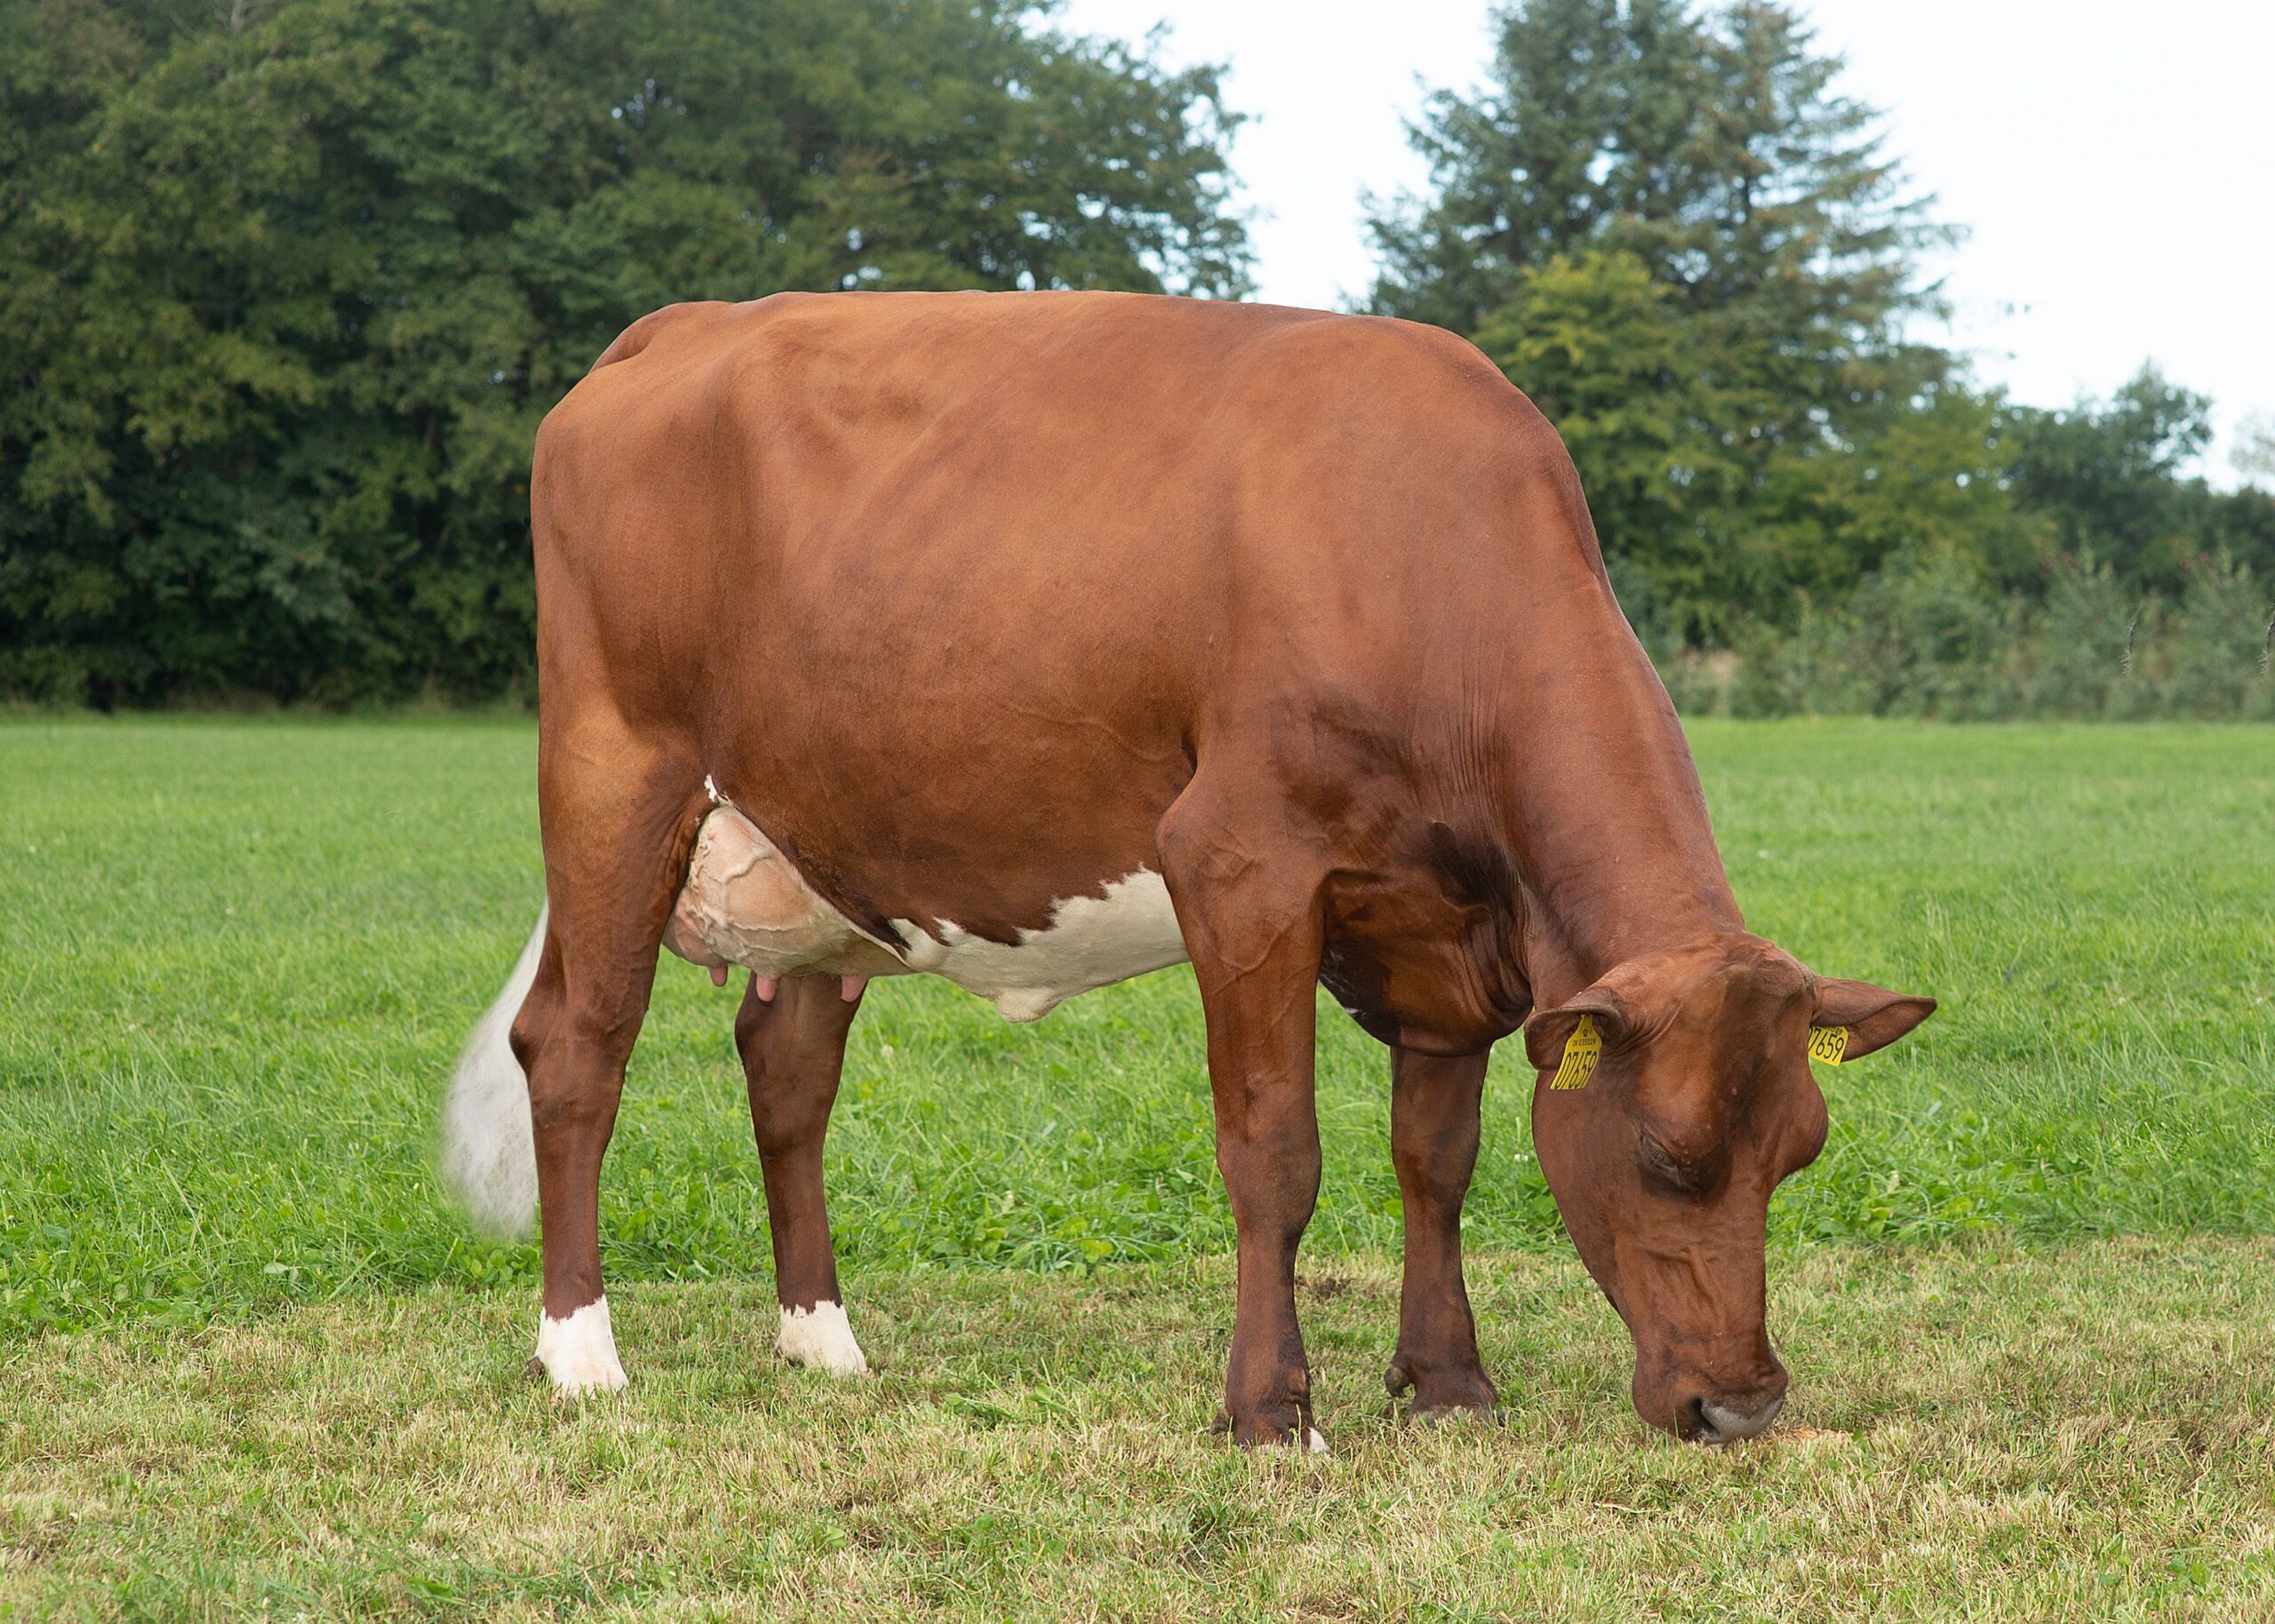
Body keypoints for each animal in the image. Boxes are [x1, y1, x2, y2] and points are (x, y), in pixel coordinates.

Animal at [440, 290, 1935, 1449]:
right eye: (1669, 1157)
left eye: (1799, 1152)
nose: (1743, 1407)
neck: (1424, 557)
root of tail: (675, 327)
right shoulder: (1241, 869)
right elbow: (1276, 1153)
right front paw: (1270, 1409)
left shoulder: (1445, 932)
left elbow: (1435, 1158)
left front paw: (1447, 1382)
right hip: (615, 774)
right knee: (576, 1048)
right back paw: (582, 1356)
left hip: (823, 841)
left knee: (789, 1073)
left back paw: (824, 1341)